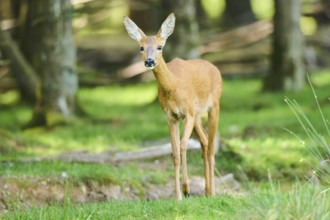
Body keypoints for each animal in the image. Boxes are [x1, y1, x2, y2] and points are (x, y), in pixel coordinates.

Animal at [123, 12, 222, 200]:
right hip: (198, 115)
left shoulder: (188, 112)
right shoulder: (171, 116)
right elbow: (175, 152)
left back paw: (212, 192)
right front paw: (178, 196)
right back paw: (206, 190)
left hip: (214, 105)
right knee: (205, 141)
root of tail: (216, 69)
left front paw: (186, 188)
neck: (174, 87)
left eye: (160, 47)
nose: (149, 61)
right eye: (141, 48)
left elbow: (183, 145)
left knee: (212, 146)